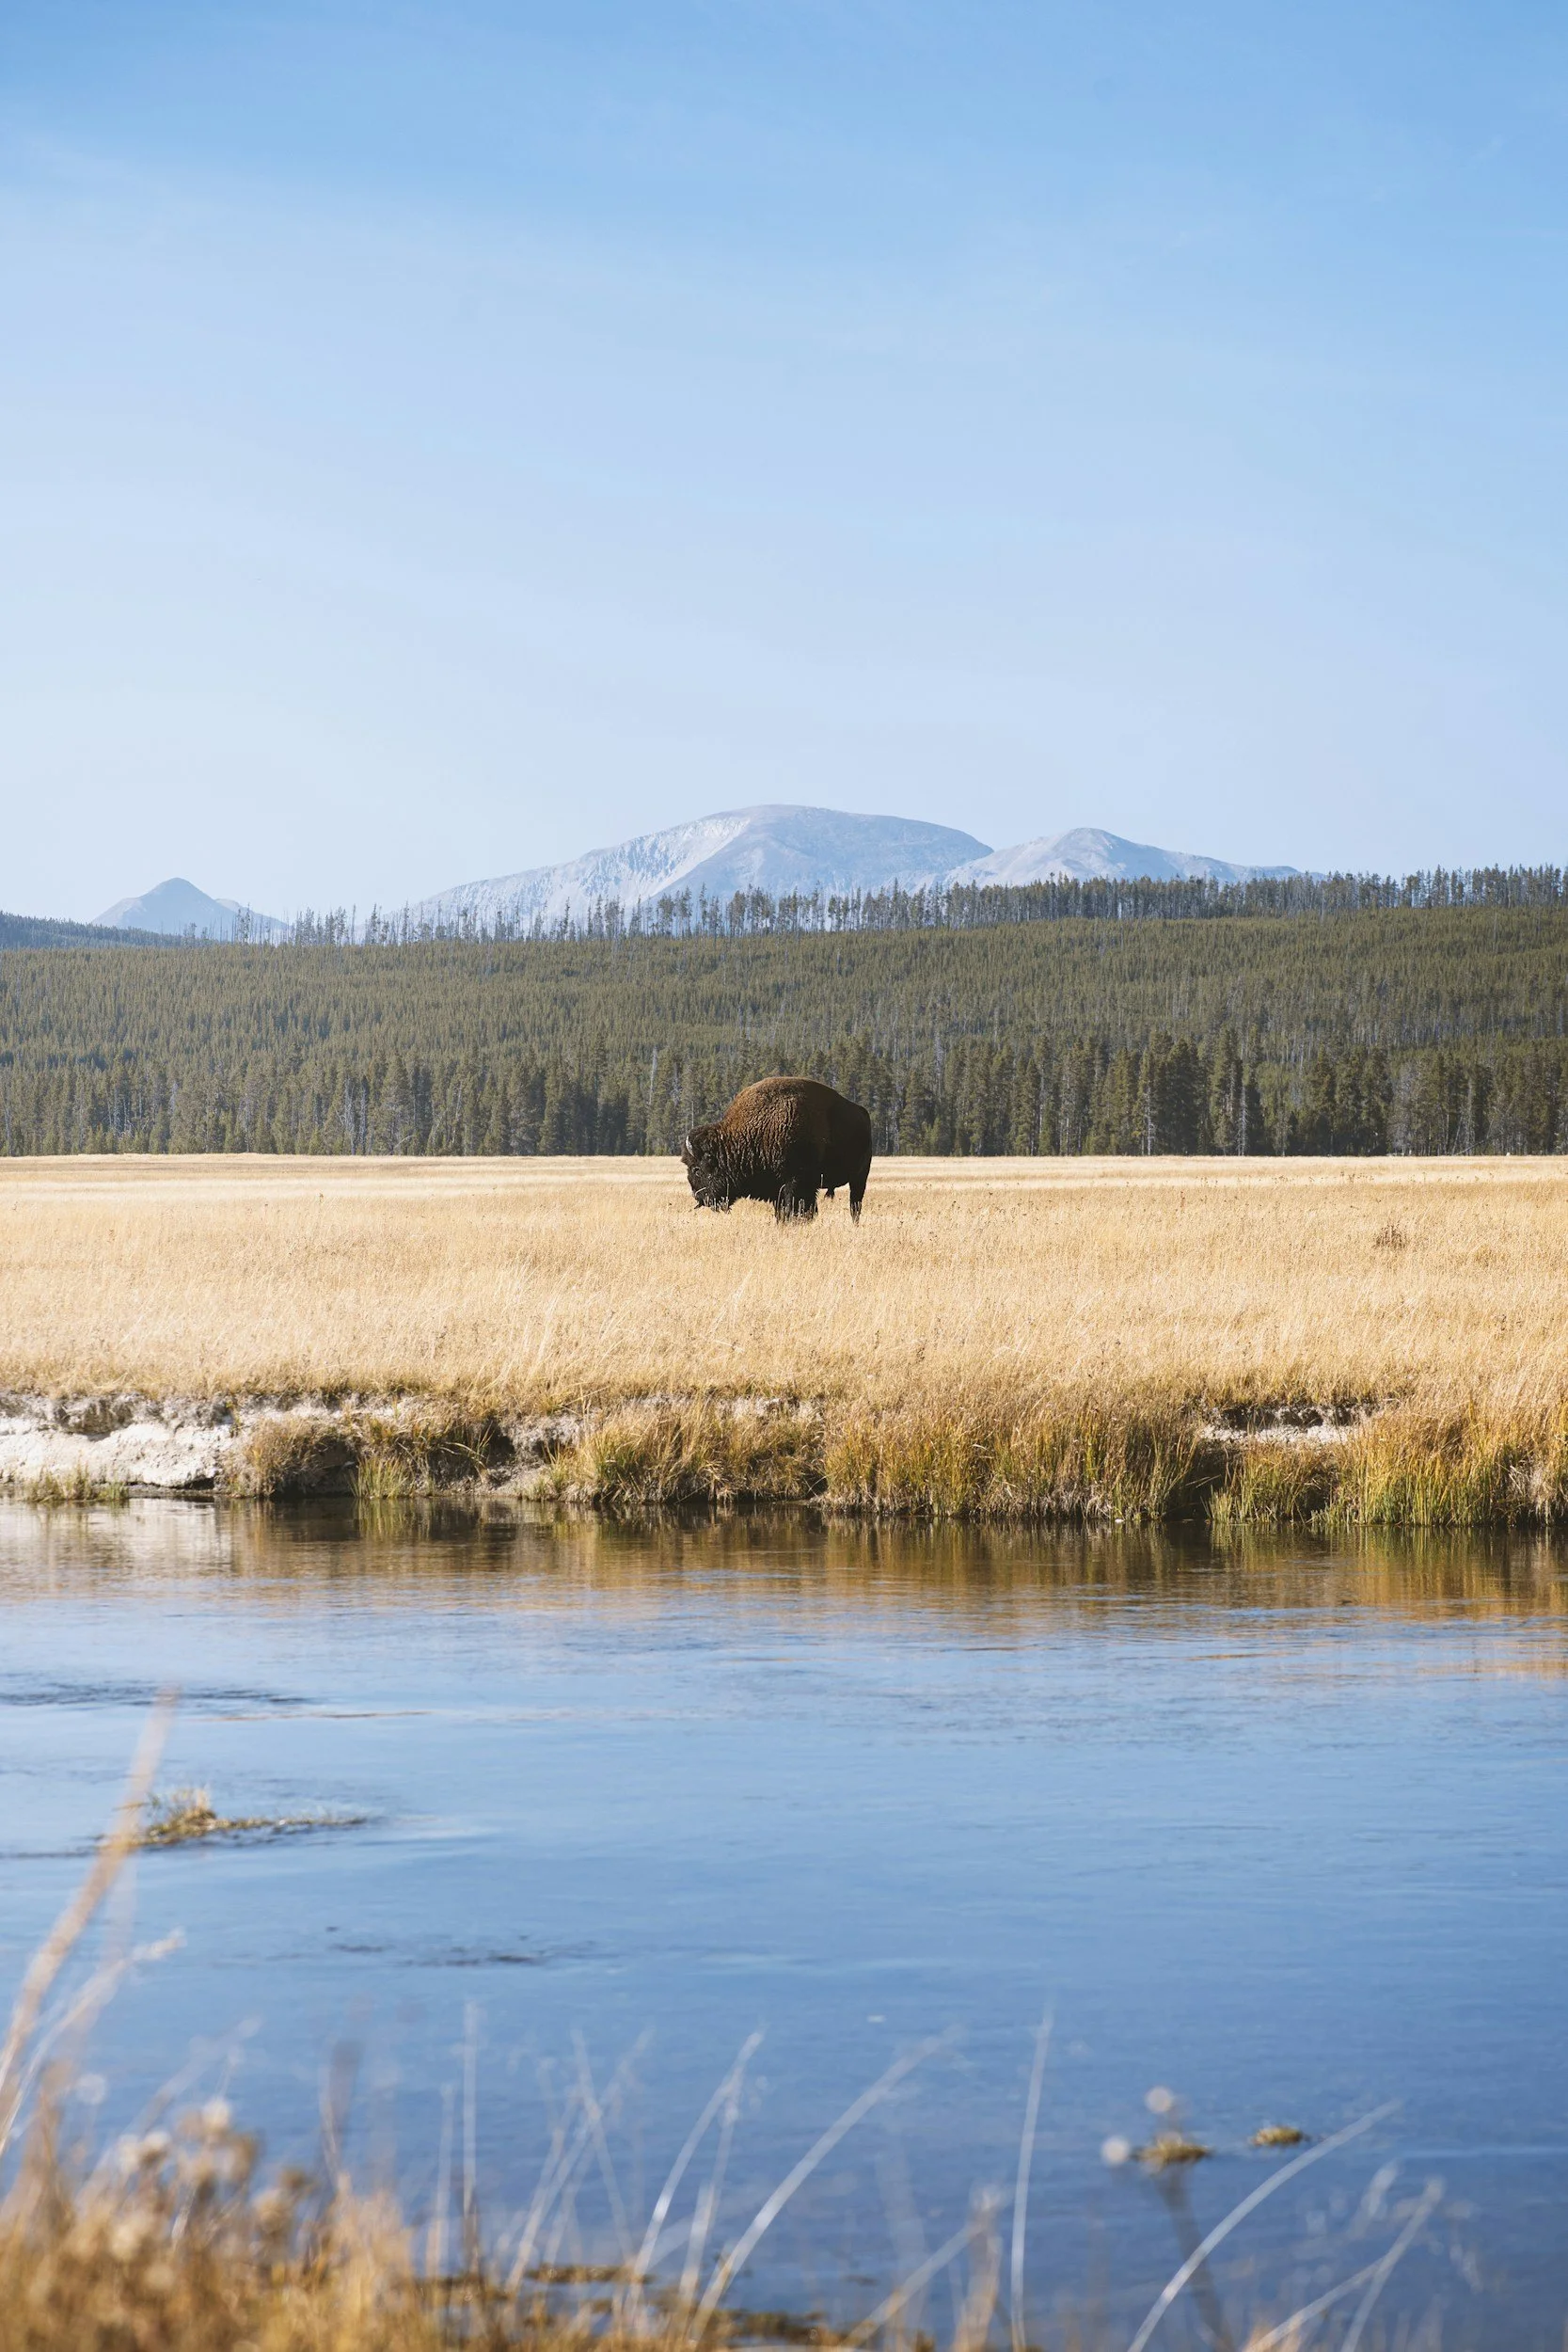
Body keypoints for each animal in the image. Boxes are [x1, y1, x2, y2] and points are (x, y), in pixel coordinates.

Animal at [682, 1076, 873, 1223]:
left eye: (696, 1169)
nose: (697, 1196)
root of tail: (862, 1113)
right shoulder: (779, 1189)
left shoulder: (795, 1182)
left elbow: (796, 1209)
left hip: (860, 1177)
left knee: (855, 1204)